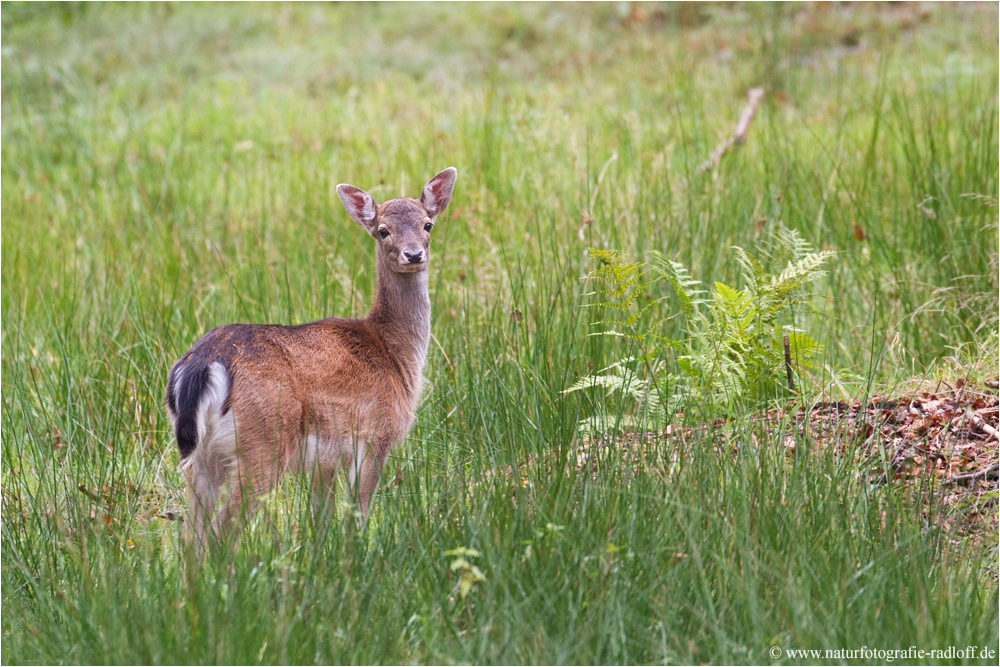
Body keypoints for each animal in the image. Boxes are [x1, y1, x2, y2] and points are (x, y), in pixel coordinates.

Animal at [167, 170, 458, 556]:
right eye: (383, 230)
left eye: (428, 224)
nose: (414, 254)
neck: (395, 352)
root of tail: (200, 366)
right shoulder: (375, 433)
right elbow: (358, 513)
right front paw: (356, 558)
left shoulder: (325, 461)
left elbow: (322, 518)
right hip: (264, 439)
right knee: (222, 532)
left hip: (200, 456)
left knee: (191, 540)